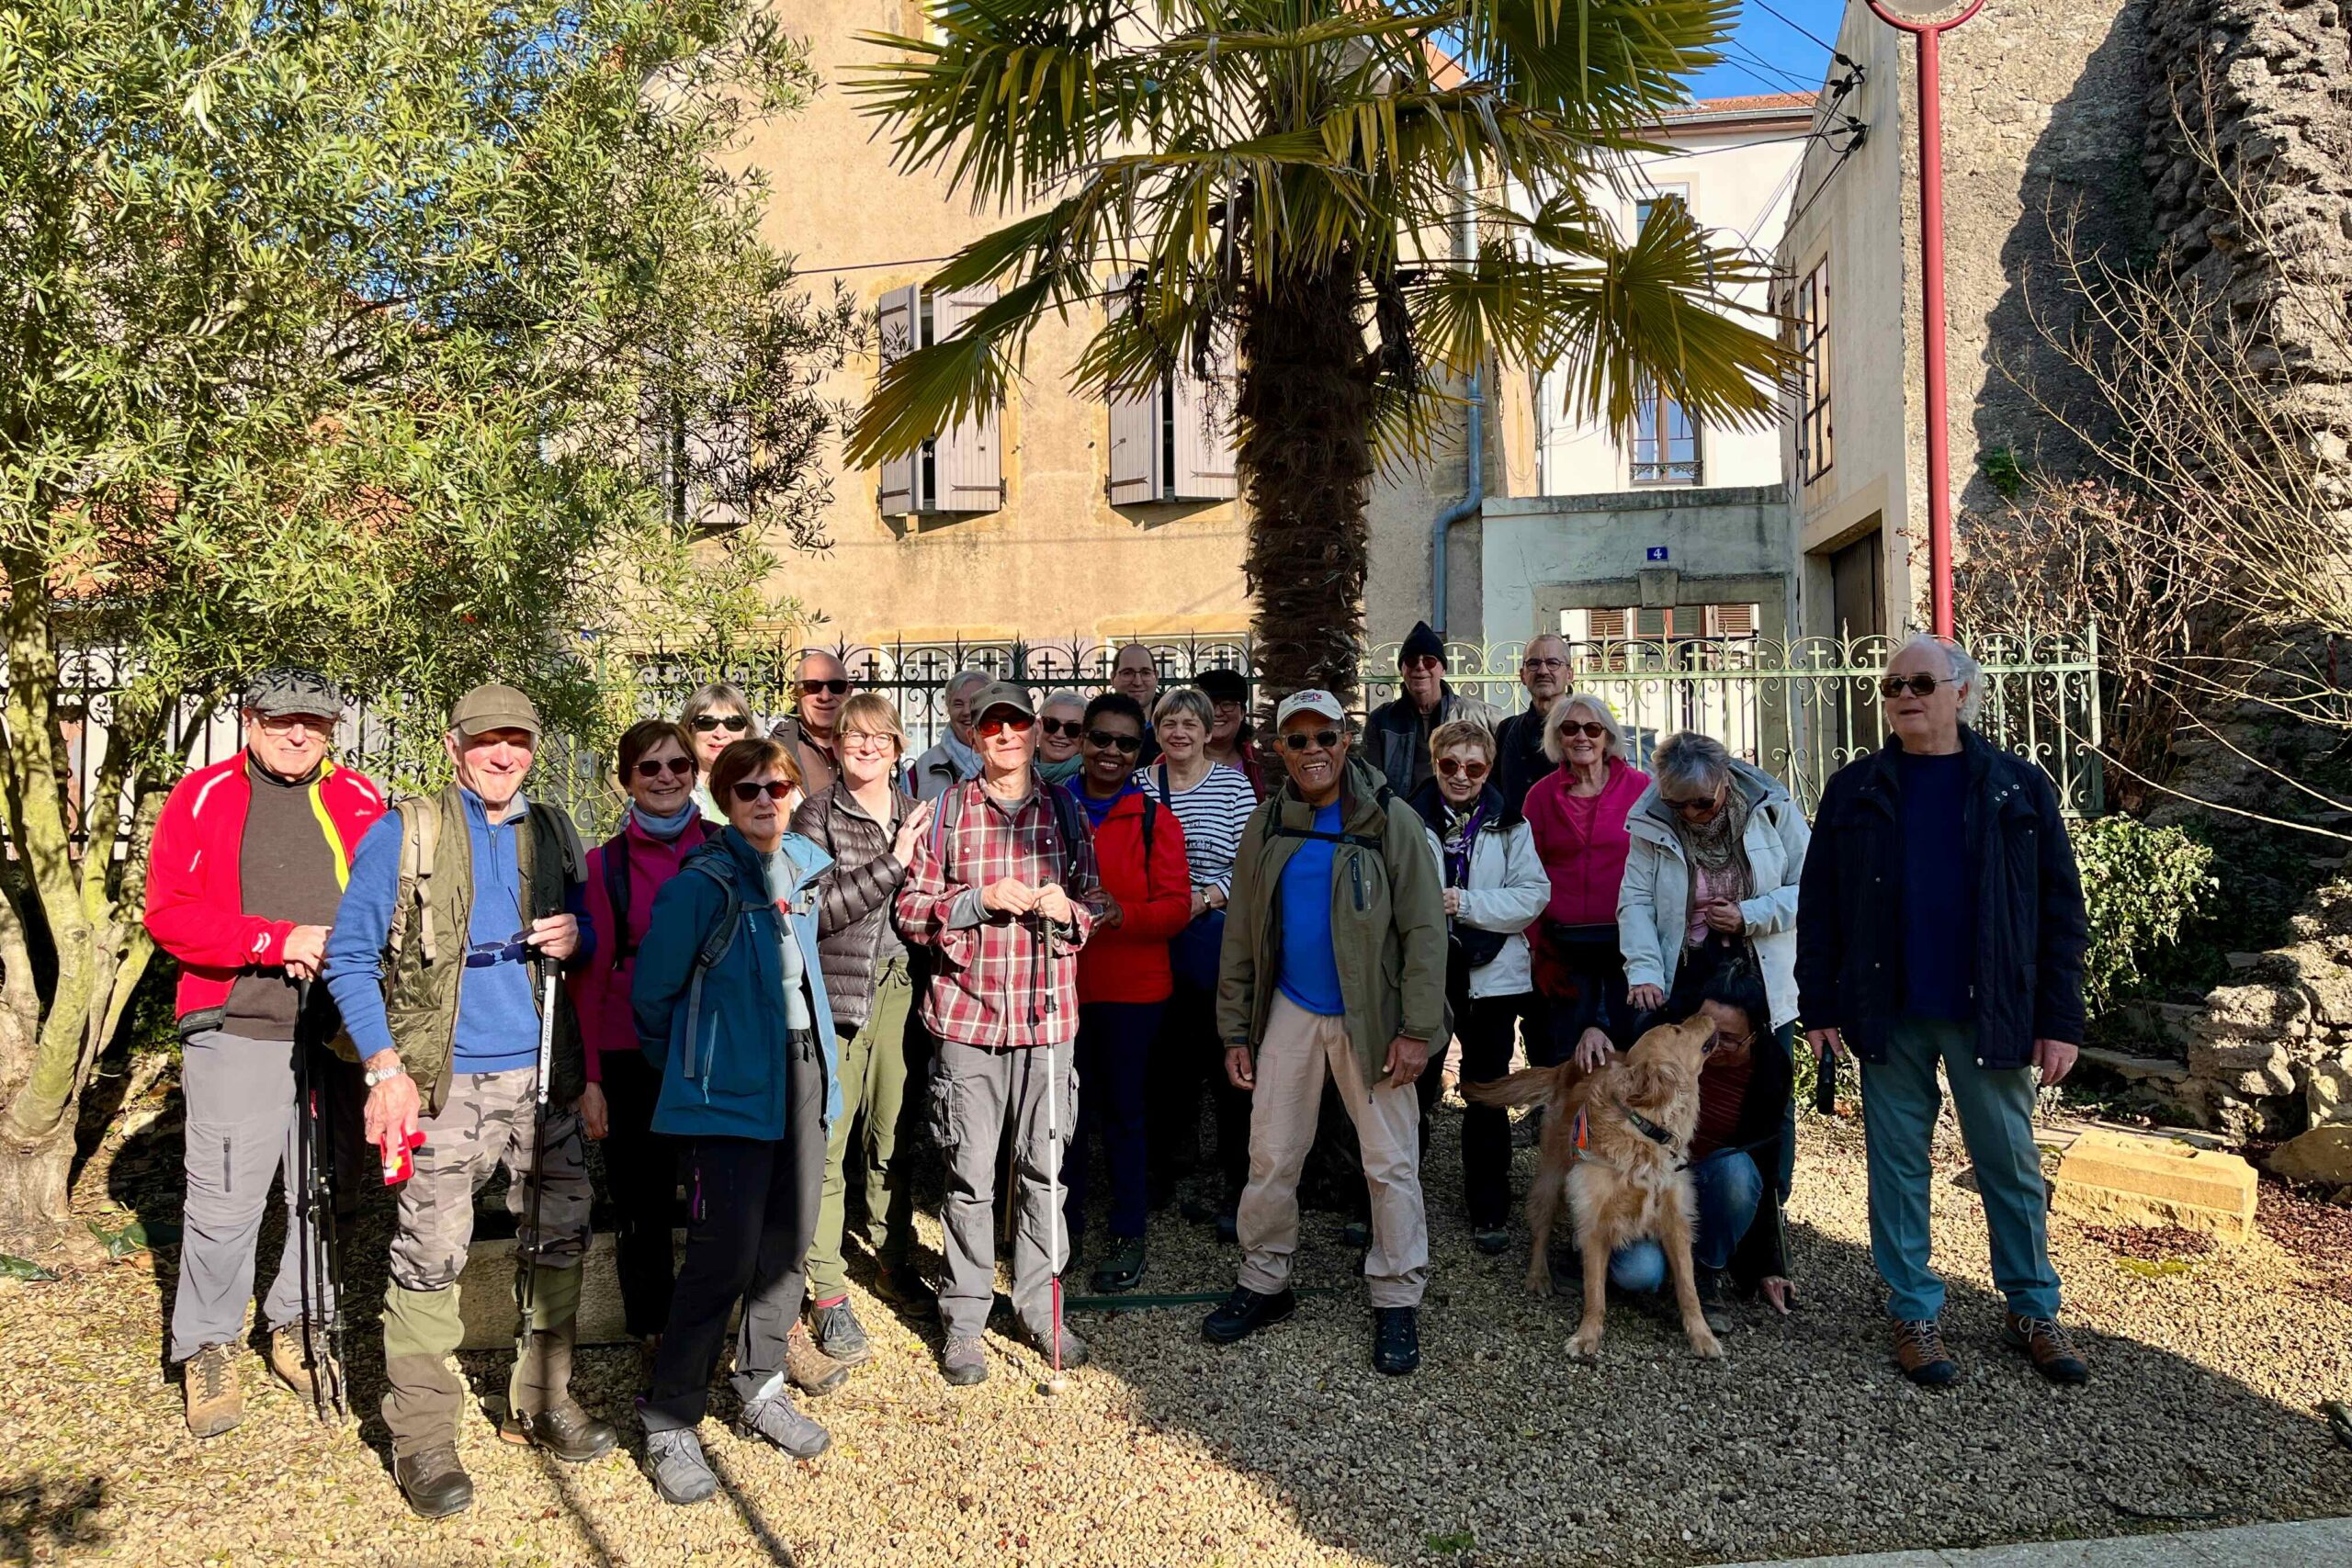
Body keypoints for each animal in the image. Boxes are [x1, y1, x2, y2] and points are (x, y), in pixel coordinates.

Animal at [1465, 1015, 1721, 1360]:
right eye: (1677, 1030)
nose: (1708, 1014)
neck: (1645, 1128)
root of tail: (1566, 1066)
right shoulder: (1594, 1220)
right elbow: (1595, 1292)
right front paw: (1586, 1335)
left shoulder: (1676, 1218)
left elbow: (1688, 1287)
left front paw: (1702, 1336)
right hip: (1553, 1176)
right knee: (1540, 1227)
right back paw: (1538, 1276)